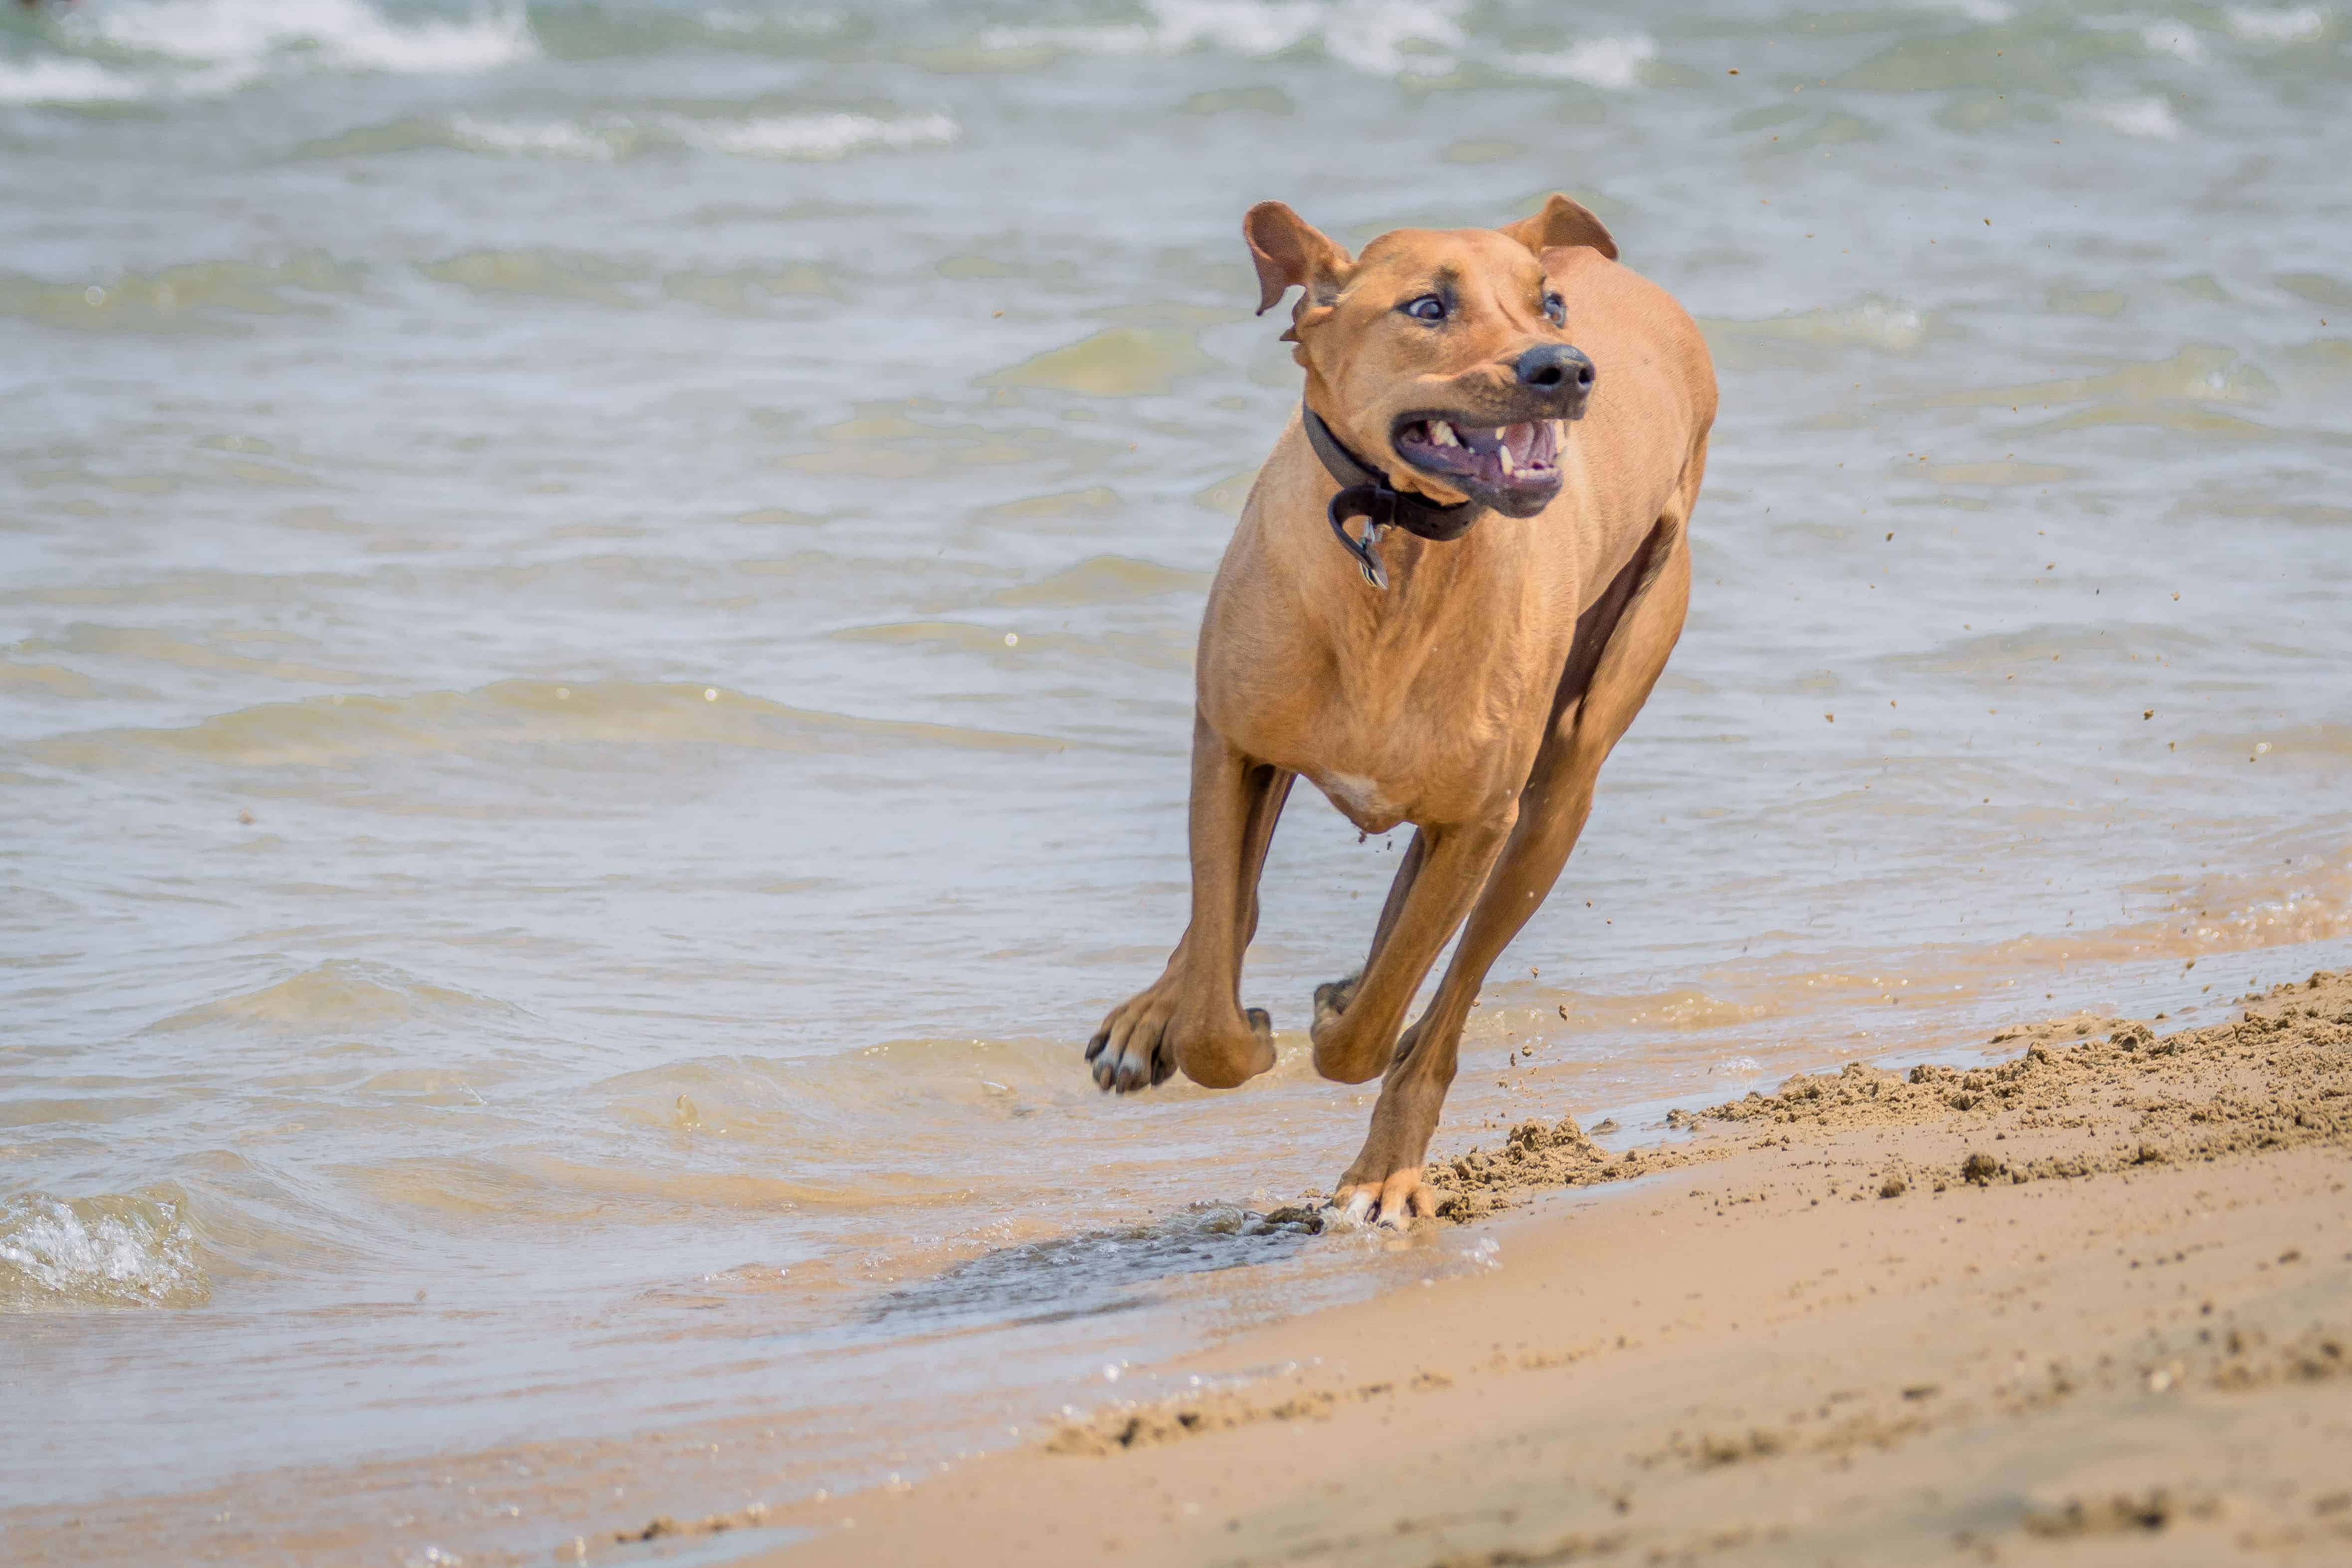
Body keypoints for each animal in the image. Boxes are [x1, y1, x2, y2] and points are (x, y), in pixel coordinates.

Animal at [1077, 192, 1712, 1222]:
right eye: (1426, 308)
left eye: (1548, 304)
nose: (1563, 367)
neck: (1396, 545)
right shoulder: (1233, 745)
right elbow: (1217, 989)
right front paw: (1207, 1022)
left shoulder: (1482, 819)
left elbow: (1375, 1026)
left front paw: (1353, 1065)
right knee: (1239, 909)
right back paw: (1158, 1011)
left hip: (1560, 784)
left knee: (1443, 994)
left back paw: (1386, 1149)